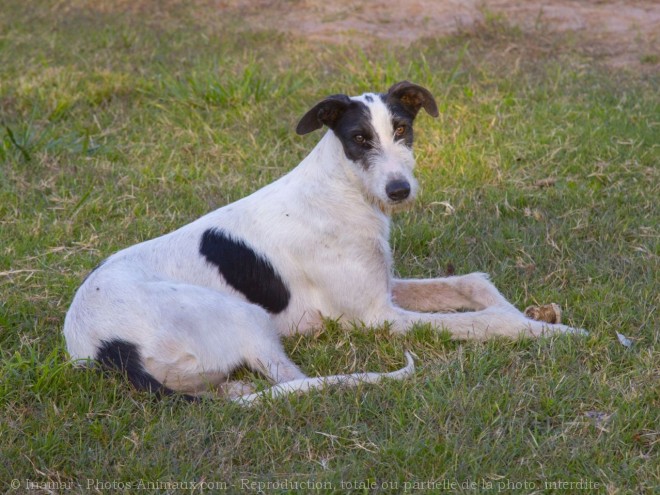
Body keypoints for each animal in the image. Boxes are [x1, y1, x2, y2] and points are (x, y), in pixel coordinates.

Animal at [64, 81, 584, 404]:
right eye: (359, 138)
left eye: (402, 130)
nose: (399, 191)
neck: (340, 190)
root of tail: (104, 347)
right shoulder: (379, 317)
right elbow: (486, 321)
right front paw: (551, 331)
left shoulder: (386, 286)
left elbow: (473, 283)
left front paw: (535, 313)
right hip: (245, 317)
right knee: (294, 384)